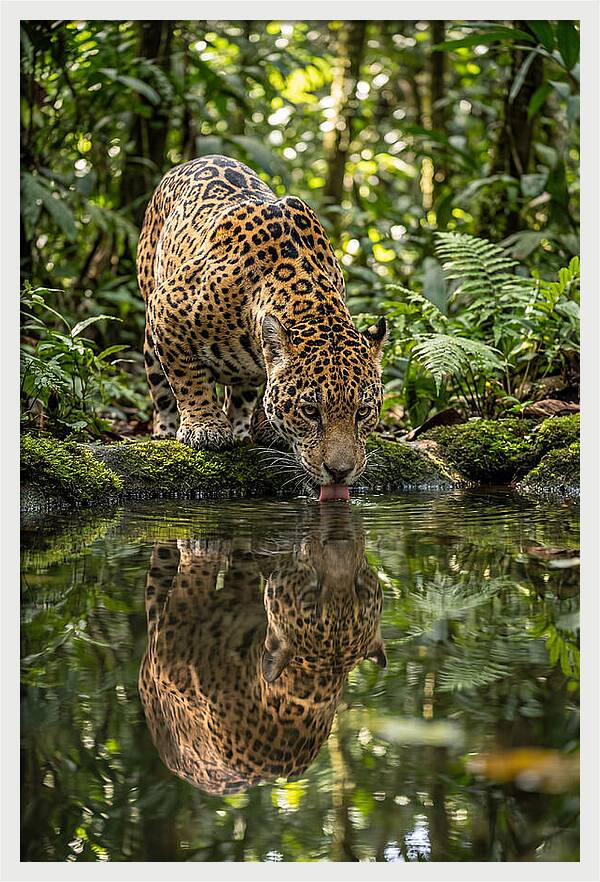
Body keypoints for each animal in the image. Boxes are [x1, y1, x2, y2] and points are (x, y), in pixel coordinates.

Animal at [137, 155, 387, 493]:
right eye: (310, 411)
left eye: (363, 412)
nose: (340, 472)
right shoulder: (166, 307)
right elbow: (188, 378)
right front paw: (205, 426)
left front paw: (265, 428)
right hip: (150, 321)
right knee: (160, 387)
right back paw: (165, 429)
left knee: (241, 391)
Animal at [138, 509, 386, 794]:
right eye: (312, 593)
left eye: (360, 588)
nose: (340, 539)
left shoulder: (169, 653)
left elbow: (195, 580)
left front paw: (203, 547)